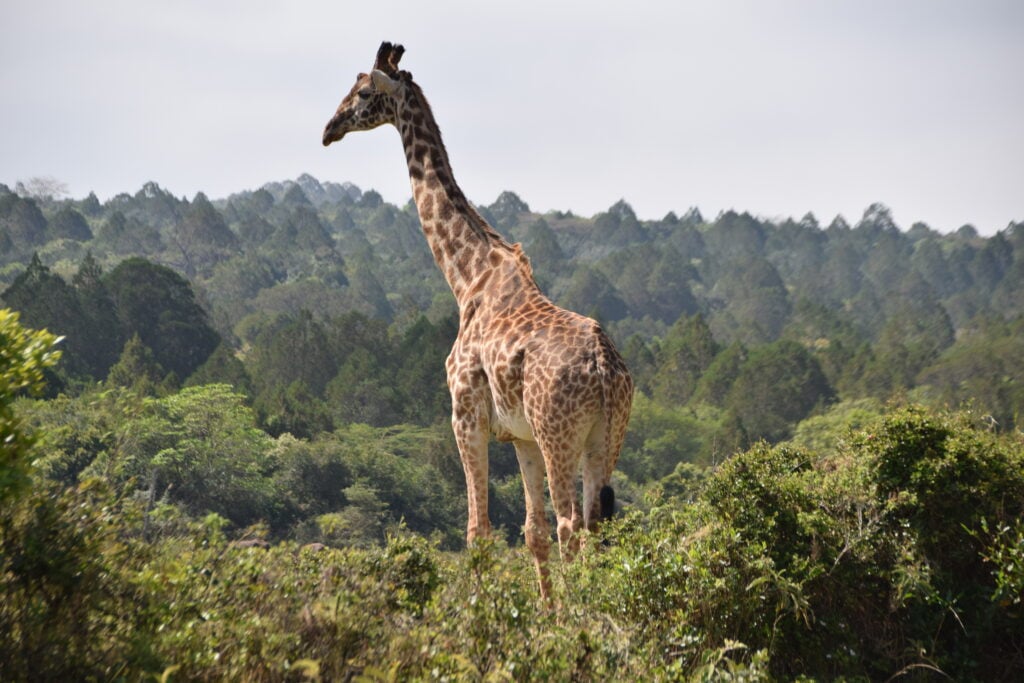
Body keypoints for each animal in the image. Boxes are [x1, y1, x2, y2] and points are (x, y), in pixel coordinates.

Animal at [325, 42, 630, 602]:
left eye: (362, 93)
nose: (328, 129)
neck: (466, 276)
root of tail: (604, 367)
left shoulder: (465, 415)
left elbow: (478, 531)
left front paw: (481, 612)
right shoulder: (521, 436)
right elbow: (530, 532)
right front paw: (544, 614)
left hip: (560, 434)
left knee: (573, 525)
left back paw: (582, 614)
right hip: (606, 435)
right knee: (594, 524)